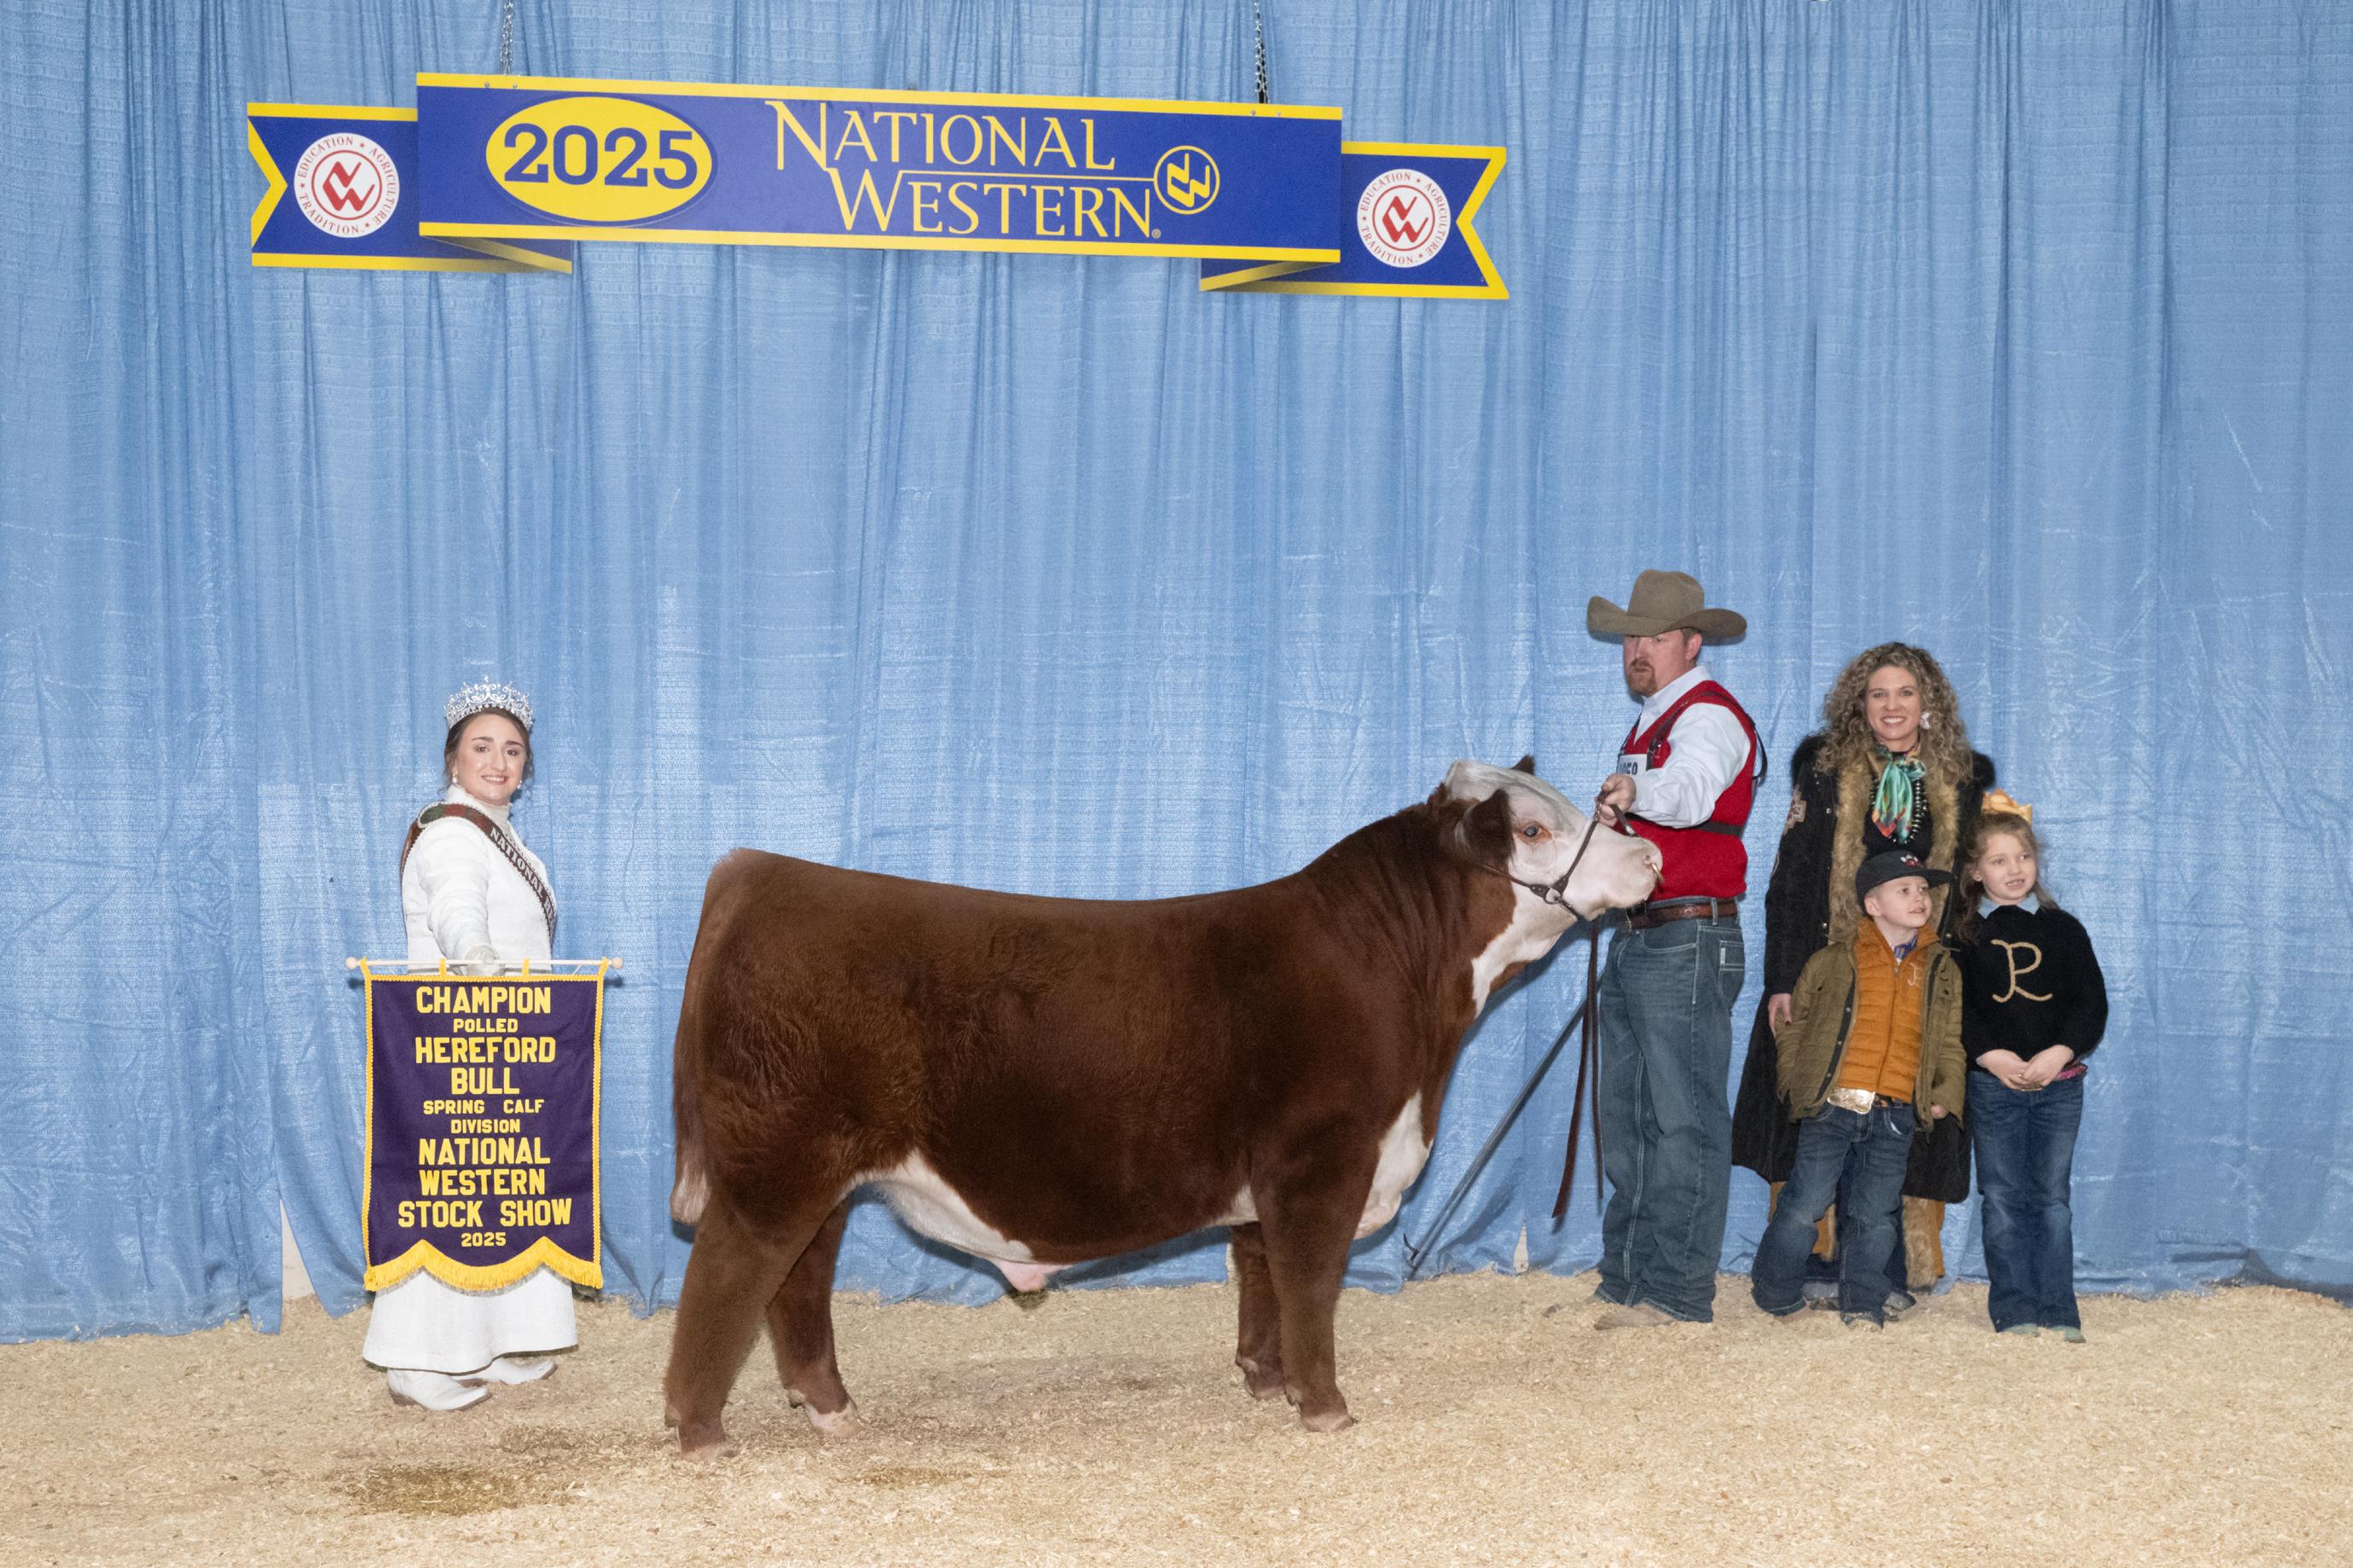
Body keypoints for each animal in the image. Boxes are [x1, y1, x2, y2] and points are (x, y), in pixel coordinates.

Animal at [662, 758, 1661, 1455]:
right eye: (1533, 826)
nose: (1649, 851)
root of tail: (755, 873)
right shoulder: (1321, 1161)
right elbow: (1309, 1281)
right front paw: (1325, 1408)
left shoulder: (1270, 1176)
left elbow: (1260, 1274)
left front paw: (1267, 1382)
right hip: (777, 1165)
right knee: (728, 1275)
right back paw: (701, 1430)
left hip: (824, 1172)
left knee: (799, 1281)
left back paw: (831, 1410)